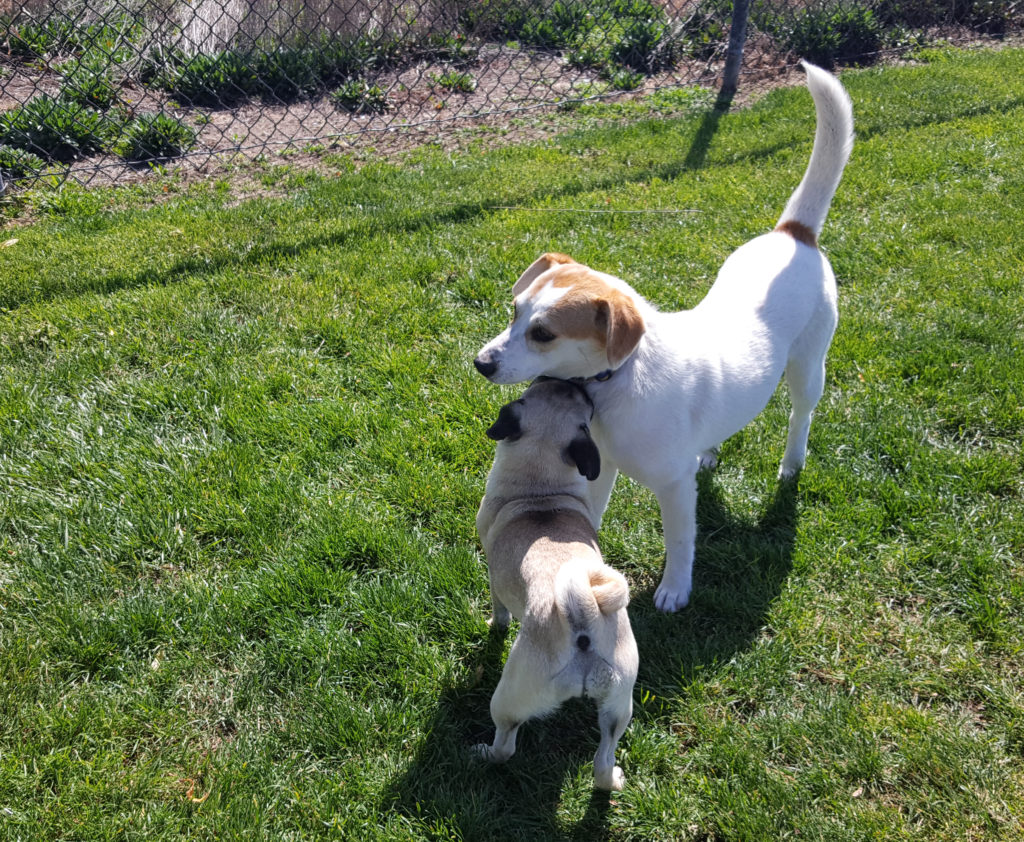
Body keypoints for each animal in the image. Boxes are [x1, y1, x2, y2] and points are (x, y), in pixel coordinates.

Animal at [473, 379, 634, 794]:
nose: (570, 379)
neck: (539, 491)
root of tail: (584, 628)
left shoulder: (494, 577)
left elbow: (499, 611)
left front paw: (492, 626)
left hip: (510, 695)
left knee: (506, 744)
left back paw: (482, 753)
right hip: (619, 704)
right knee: (602, 758)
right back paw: (612, 779)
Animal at [475, 60, 851, 614]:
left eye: (542, 333)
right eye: (514, 311)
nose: (481, 363)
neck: (617, 382)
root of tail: (794, 233)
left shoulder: (674, 488)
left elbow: (679, 540)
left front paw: (675, 589)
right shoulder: (600, 465)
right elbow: (591, 515)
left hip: (808, 368)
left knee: (801, 416)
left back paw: (792, 464)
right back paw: (711, 449)